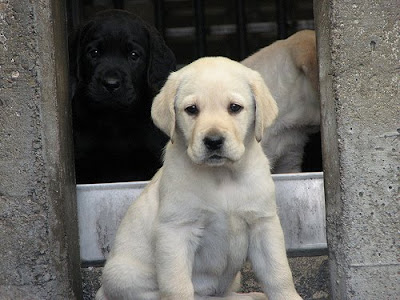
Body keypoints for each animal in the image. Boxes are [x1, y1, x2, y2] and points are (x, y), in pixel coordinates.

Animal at [95, 56, 300, 300]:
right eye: (191, 109)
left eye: (234, 108)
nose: (213, 141)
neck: (222, 176)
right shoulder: (176, 231)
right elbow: (177, 286)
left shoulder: (263, 223)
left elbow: (278, 274)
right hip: (122, 274)